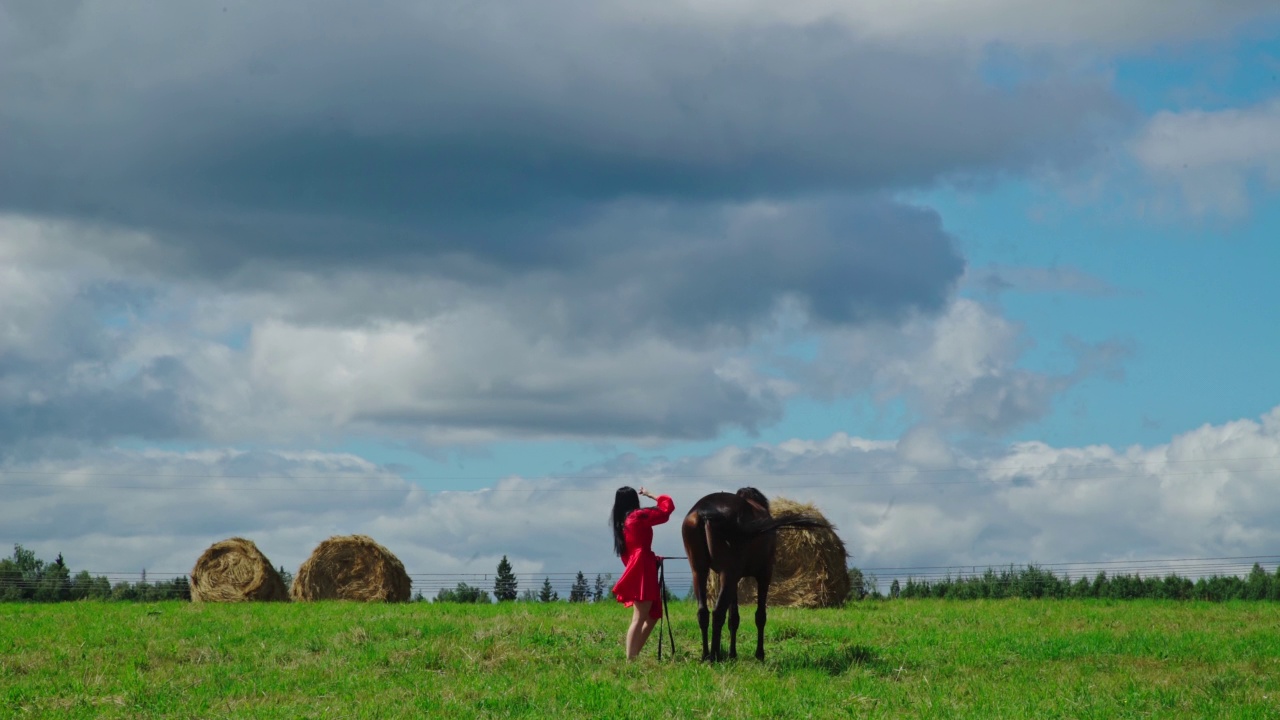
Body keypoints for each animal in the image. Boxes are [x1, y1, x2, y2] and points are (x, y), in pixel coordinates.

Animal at [680, 484, 829, 661]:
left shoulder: (735, 581)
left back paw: (705, 655)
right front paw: (759, 654)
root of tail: (705, 511)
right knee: (717, 613)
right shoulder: (764, 575)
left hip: (700, 571)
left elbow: (734, 618)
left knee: (703, 613)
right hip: (728, 574)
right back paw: (715, 656)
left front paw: (732, 654)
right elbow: (760, 616)